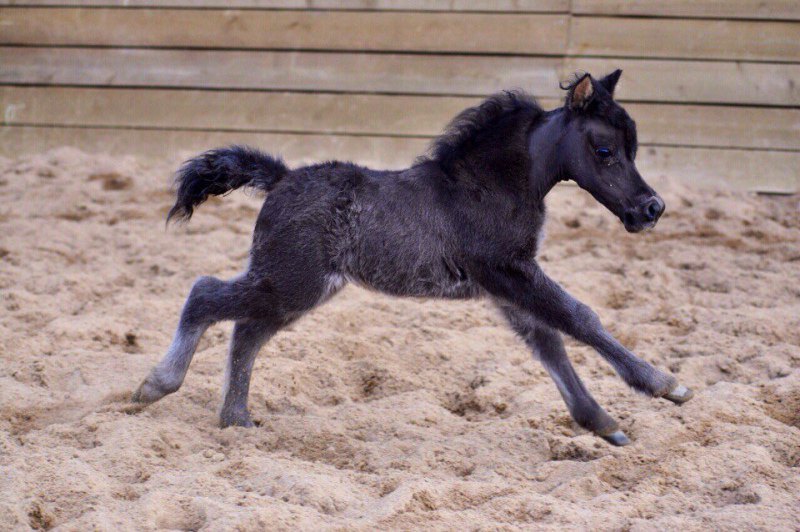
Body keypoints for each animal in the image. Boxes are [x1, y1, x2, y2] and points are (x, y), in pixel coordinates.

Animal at [134, 70, 692, 444]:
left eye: (633, 148)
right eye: (604, 151)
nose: (652, 208)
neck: (487, 185)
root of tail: (281, 178)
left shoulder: (506, 285)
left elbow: (548, 343)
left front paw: (602, 424)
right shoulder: (510, 272)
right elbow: (580, 318)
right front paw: (664, 385)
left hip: (298, 290)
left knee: (247, 331)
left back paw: (236, 421)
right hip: (292, 281)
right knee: (205, 294)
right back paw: (156, 386)